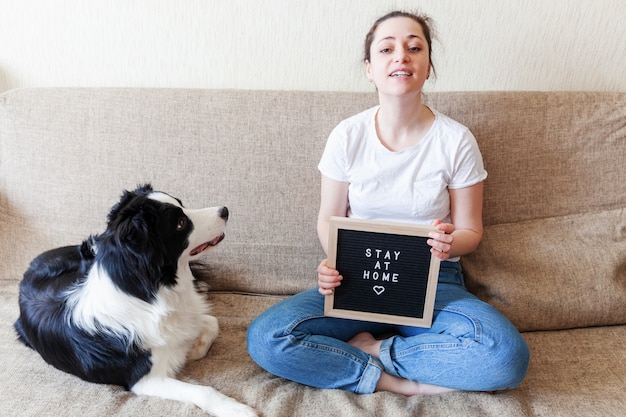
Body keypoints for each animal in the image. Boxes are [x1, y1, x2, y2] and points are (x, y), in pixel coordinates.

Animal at [15, 184, 258, 414]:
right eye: (180, 223)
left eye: (182, 203)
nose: (224, 210)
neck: (149, 291)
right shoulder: (144, 380)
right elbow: (204, 391)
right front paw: (238, 409)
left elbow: (211, 323)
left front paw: (193, 348)